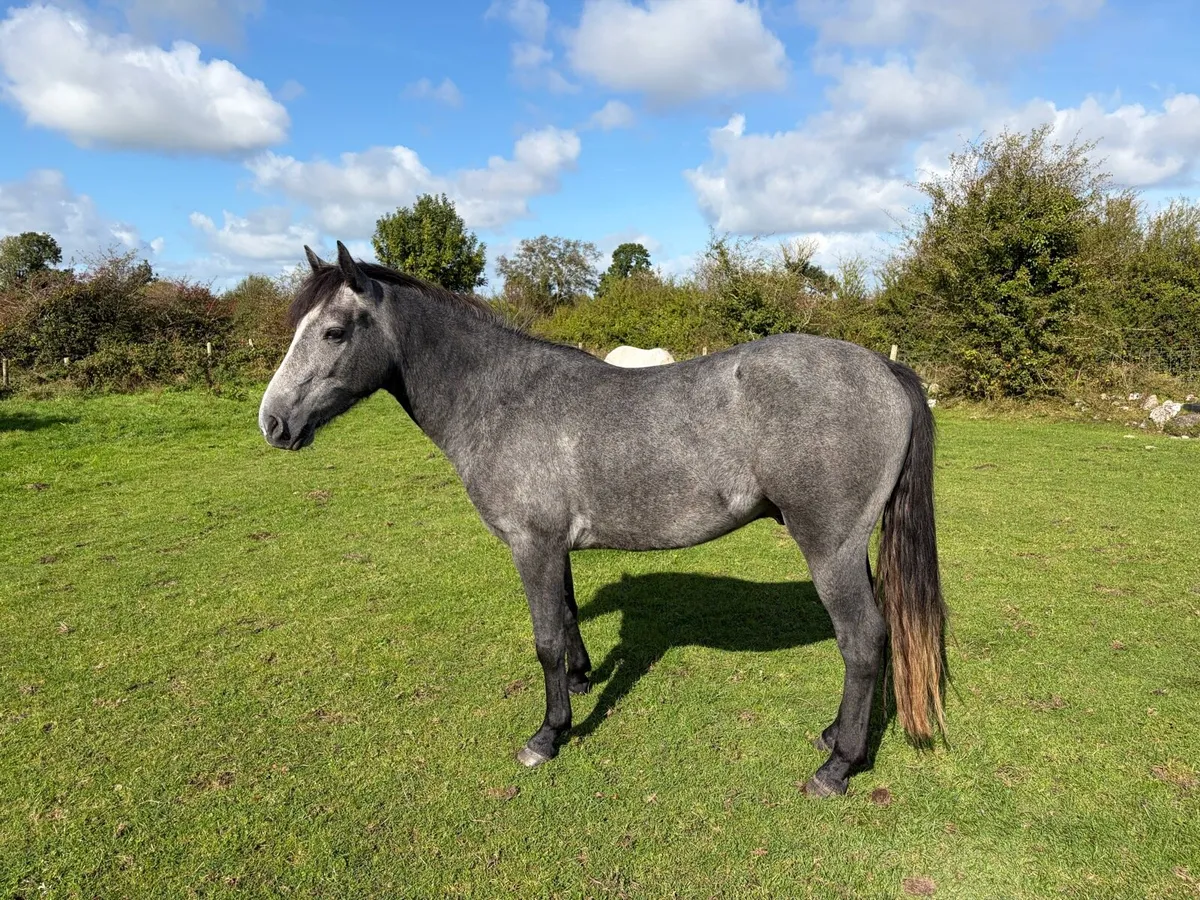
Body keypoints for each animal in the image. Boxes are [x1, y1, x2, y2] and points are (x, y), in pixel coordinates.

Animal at [258, 242, 946, 797]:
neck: (502, 398)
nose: (272, 423)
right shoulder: (552, 546)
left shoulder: (530, 545)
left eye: (334, 332)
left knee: (863, 641)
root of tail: (882, 368)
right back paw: (833, 736)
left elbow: (543, 639)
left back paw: (838, 766)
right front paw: (582, 680)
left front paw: (548, 735)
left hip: (829, 549)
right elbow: (565, 619)